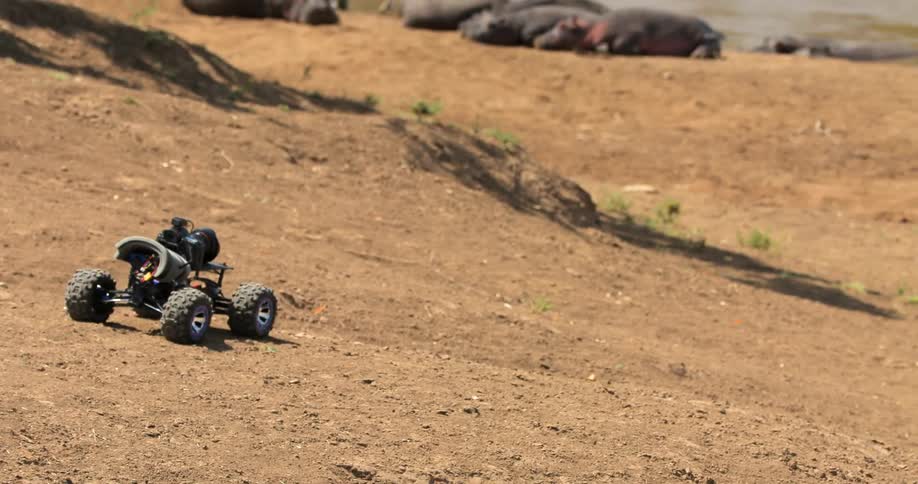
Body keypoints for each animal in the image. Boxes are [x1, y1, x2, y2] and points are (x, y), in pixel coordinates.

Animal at [533, 8, 724, 58]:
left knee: (709, 44)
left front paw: (638, 51)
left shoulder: (631, 33)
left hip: (703, 35)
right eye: (558, 23)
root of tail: (712, 29)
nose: (537, 39)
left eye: (563, 25)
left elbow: (619, 44)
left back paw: (697, 55)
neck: (593, 26)